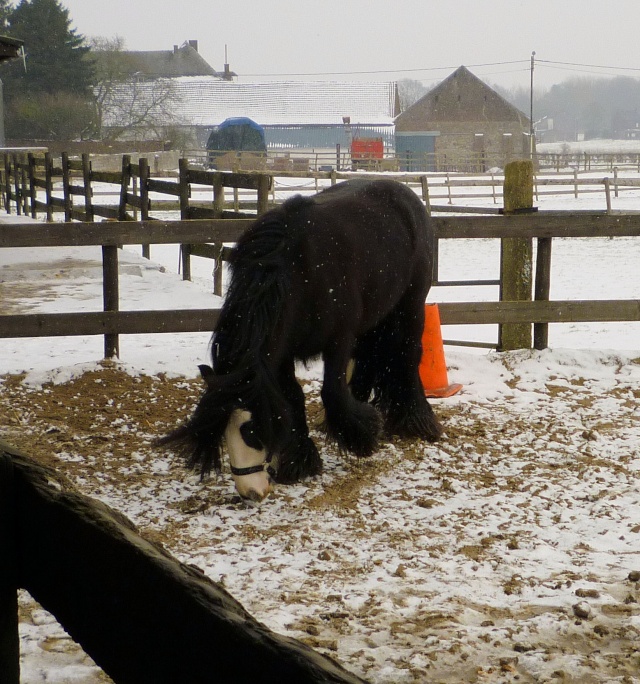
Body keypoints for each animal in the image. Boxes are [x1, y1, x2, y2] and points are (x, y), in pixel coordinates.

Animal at [160, 179, 442, 502]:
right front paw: (301, 461)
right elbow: (293, 398)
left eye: (251, 431)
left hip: (411, 305)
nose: (251, 492)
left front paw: (363, 436)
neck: (297, 272)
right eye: (222, 431)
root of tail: (407, 195)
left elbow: (332, 391)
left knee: (407, 355)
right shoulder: (280, 353)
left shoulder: (339, 340)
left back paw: (417, 422)